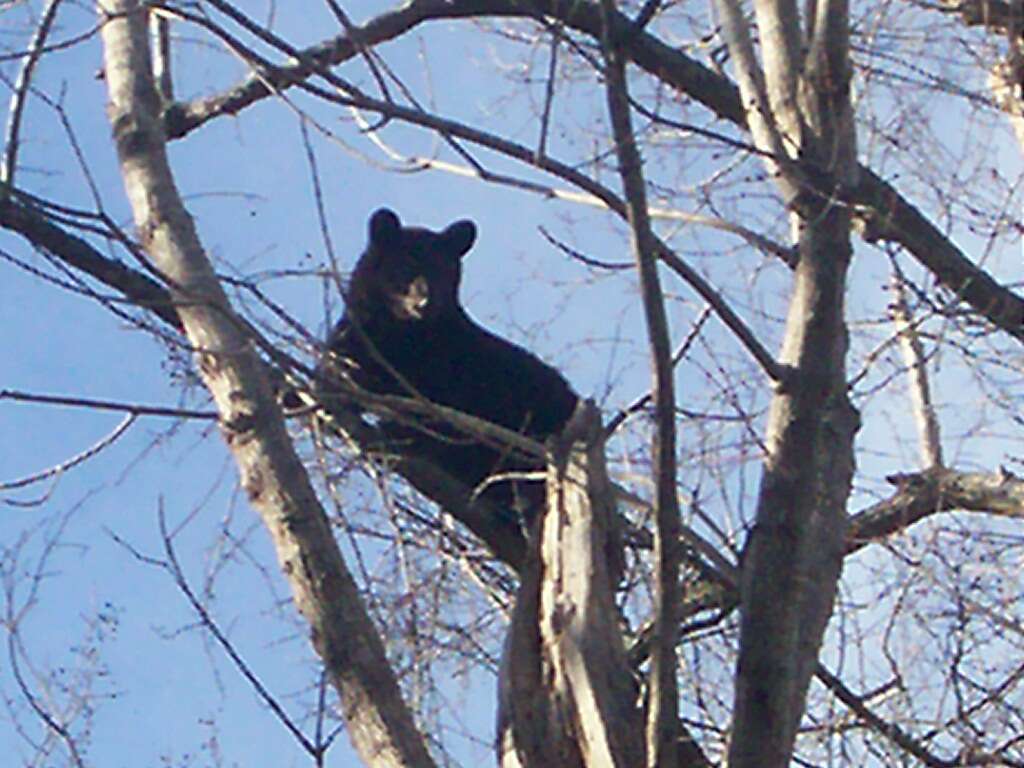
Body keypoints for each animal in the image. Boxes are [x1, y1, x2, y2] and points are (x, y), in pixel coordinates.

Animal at [315, 208, 581, 524]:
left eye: (442, 272)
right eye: (405, 267)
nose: (424, 302)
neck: (404, 334)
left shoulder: (448, 368)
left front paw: (399, 428)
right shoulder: (359, 333)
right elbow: (337, 368)